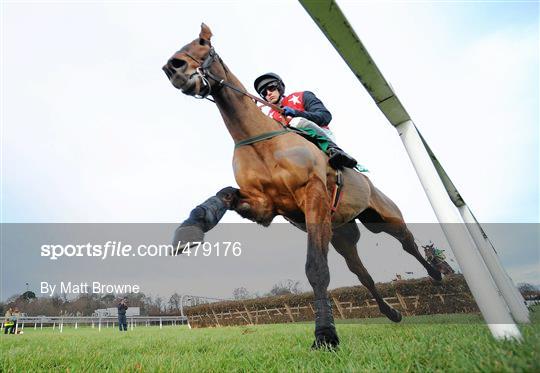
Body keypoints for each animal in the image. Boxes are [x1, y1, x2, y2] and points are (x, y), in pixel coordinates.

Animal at [162, 24, 440, 348]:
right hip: (342, 234)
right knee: (362, 273)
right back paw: (392, 312)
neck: (261, 142)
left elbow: (316, 269)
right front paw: (191, 228)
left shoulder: (314, 195)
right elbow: (224, 194)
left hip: (382, 217)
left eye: (202, 43)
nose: (173, 67)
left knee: (407, 241)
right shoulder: (263, 207)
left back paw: (438, 273)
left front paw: (325, 335)